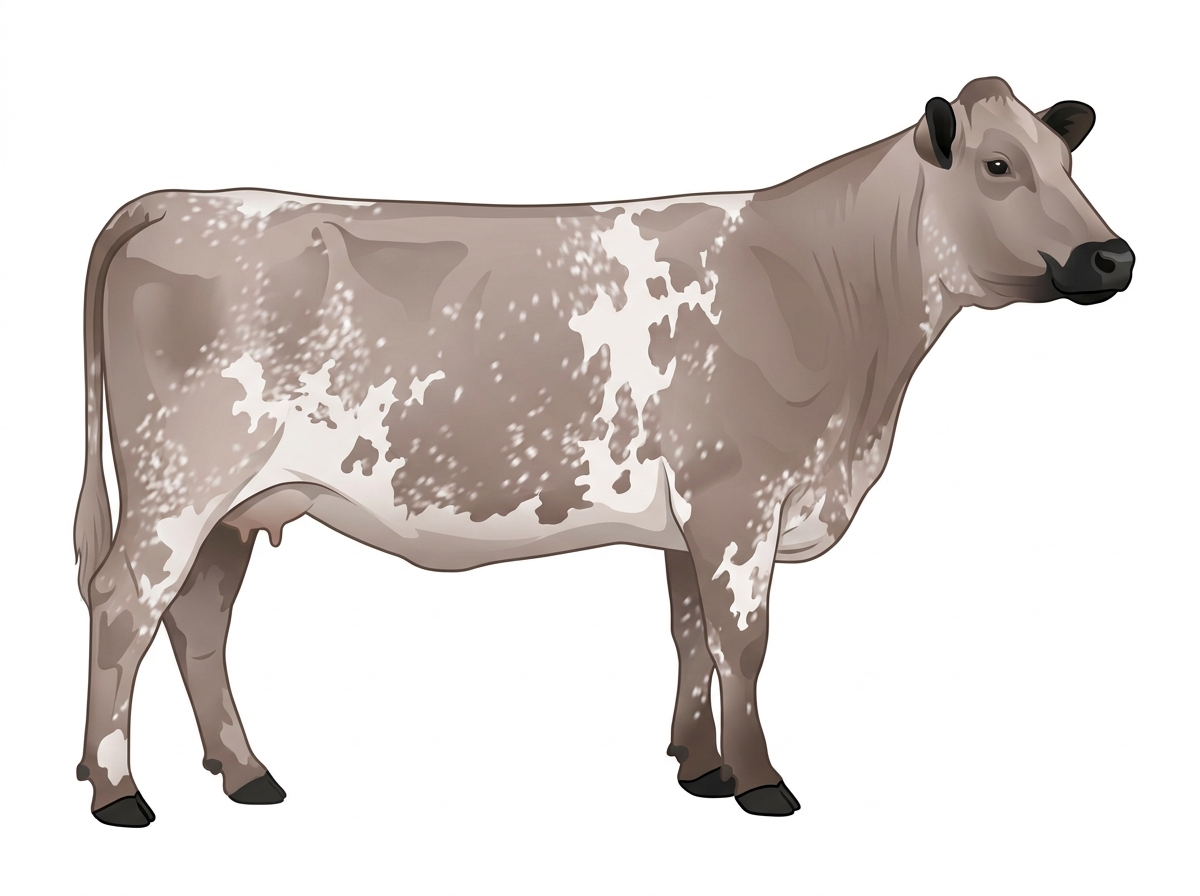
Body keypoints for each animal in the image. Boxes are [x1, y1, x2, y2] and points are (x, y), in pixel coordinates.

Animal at [73, 77, 1134, 826]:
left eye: (1067, 159)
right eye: (998, 166)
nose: (1113, 256)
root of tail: (178, 199)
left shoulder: (692, 515)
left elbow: (691, 634)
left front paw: (701, 766)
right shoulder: (739, 498)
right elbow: (745, 641)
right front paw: (761, 782)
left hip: (236, 504)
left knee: (199, 622)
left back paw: (245, 772)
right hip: (178, 482)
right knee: (125, 606)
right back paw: (118, 792)